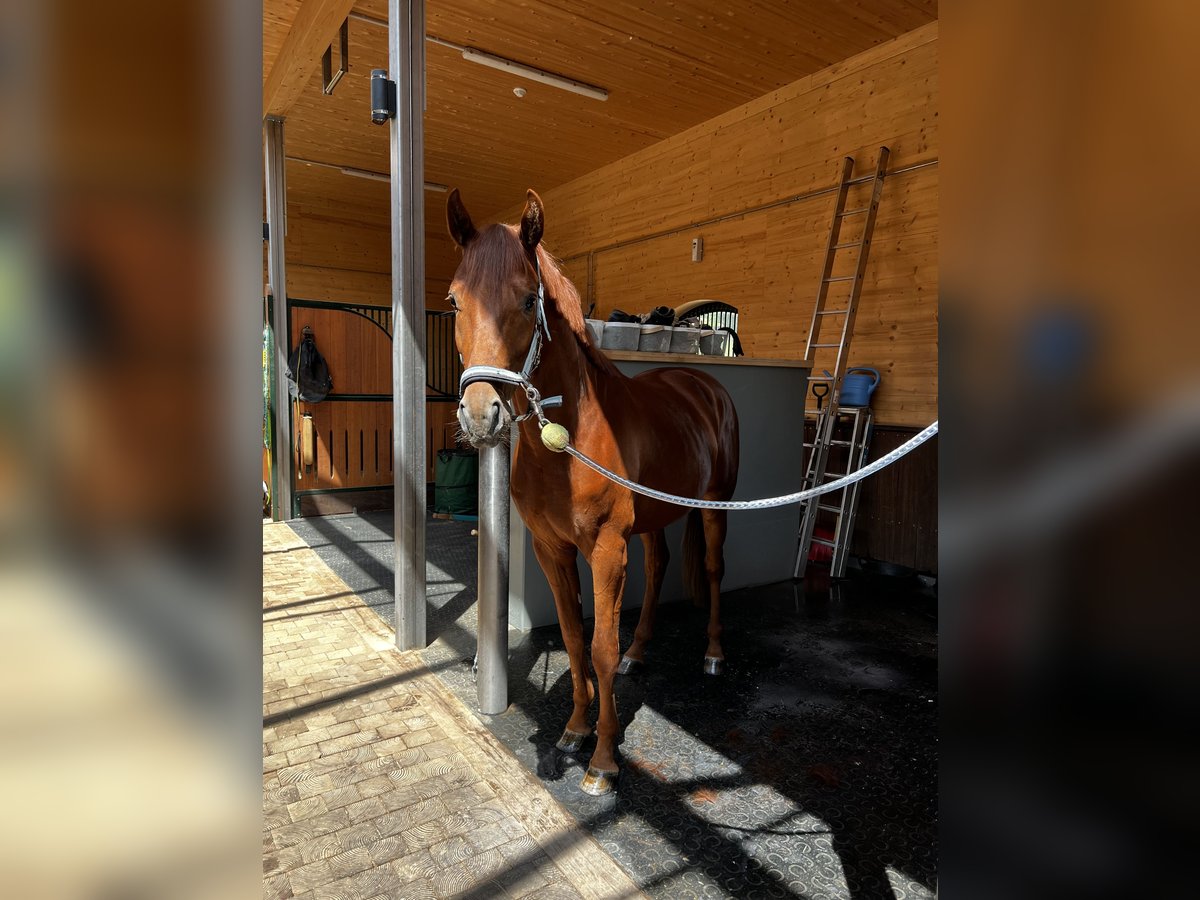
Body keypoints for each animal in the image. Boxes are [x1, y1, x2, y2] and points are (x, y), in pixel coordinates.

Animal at [448, 187, 734, 792]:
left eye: (527, 300)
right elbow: (574, 639)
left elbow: (601, 647)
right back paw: (640, 653)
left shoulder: (605, 550)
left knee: (714, 569)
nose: (481, 415)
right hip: (654, 517)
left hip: (715, 507)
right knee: (659, 564)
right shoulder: (551, 549)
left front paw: (603, 759)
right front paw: (574, 731)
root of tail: (704, 384)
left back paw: (714, 654)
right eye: (455, 301)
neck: (570, 439)